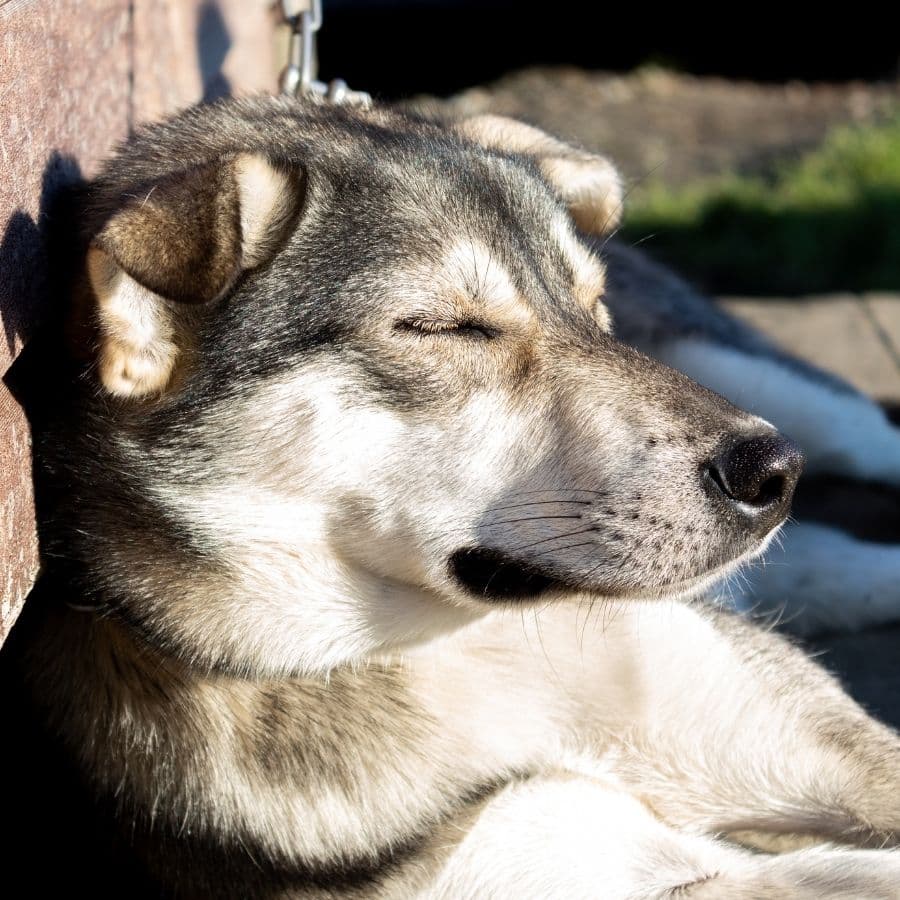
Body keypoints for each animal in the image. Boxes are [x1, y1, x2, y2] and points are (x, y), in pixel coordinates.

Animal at [10, 95, 900, 896]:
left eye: (592, 308)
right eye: (445, 327)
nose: (769, 473)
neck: (447, 650)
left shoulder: (823, 750)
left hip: (800, 402)